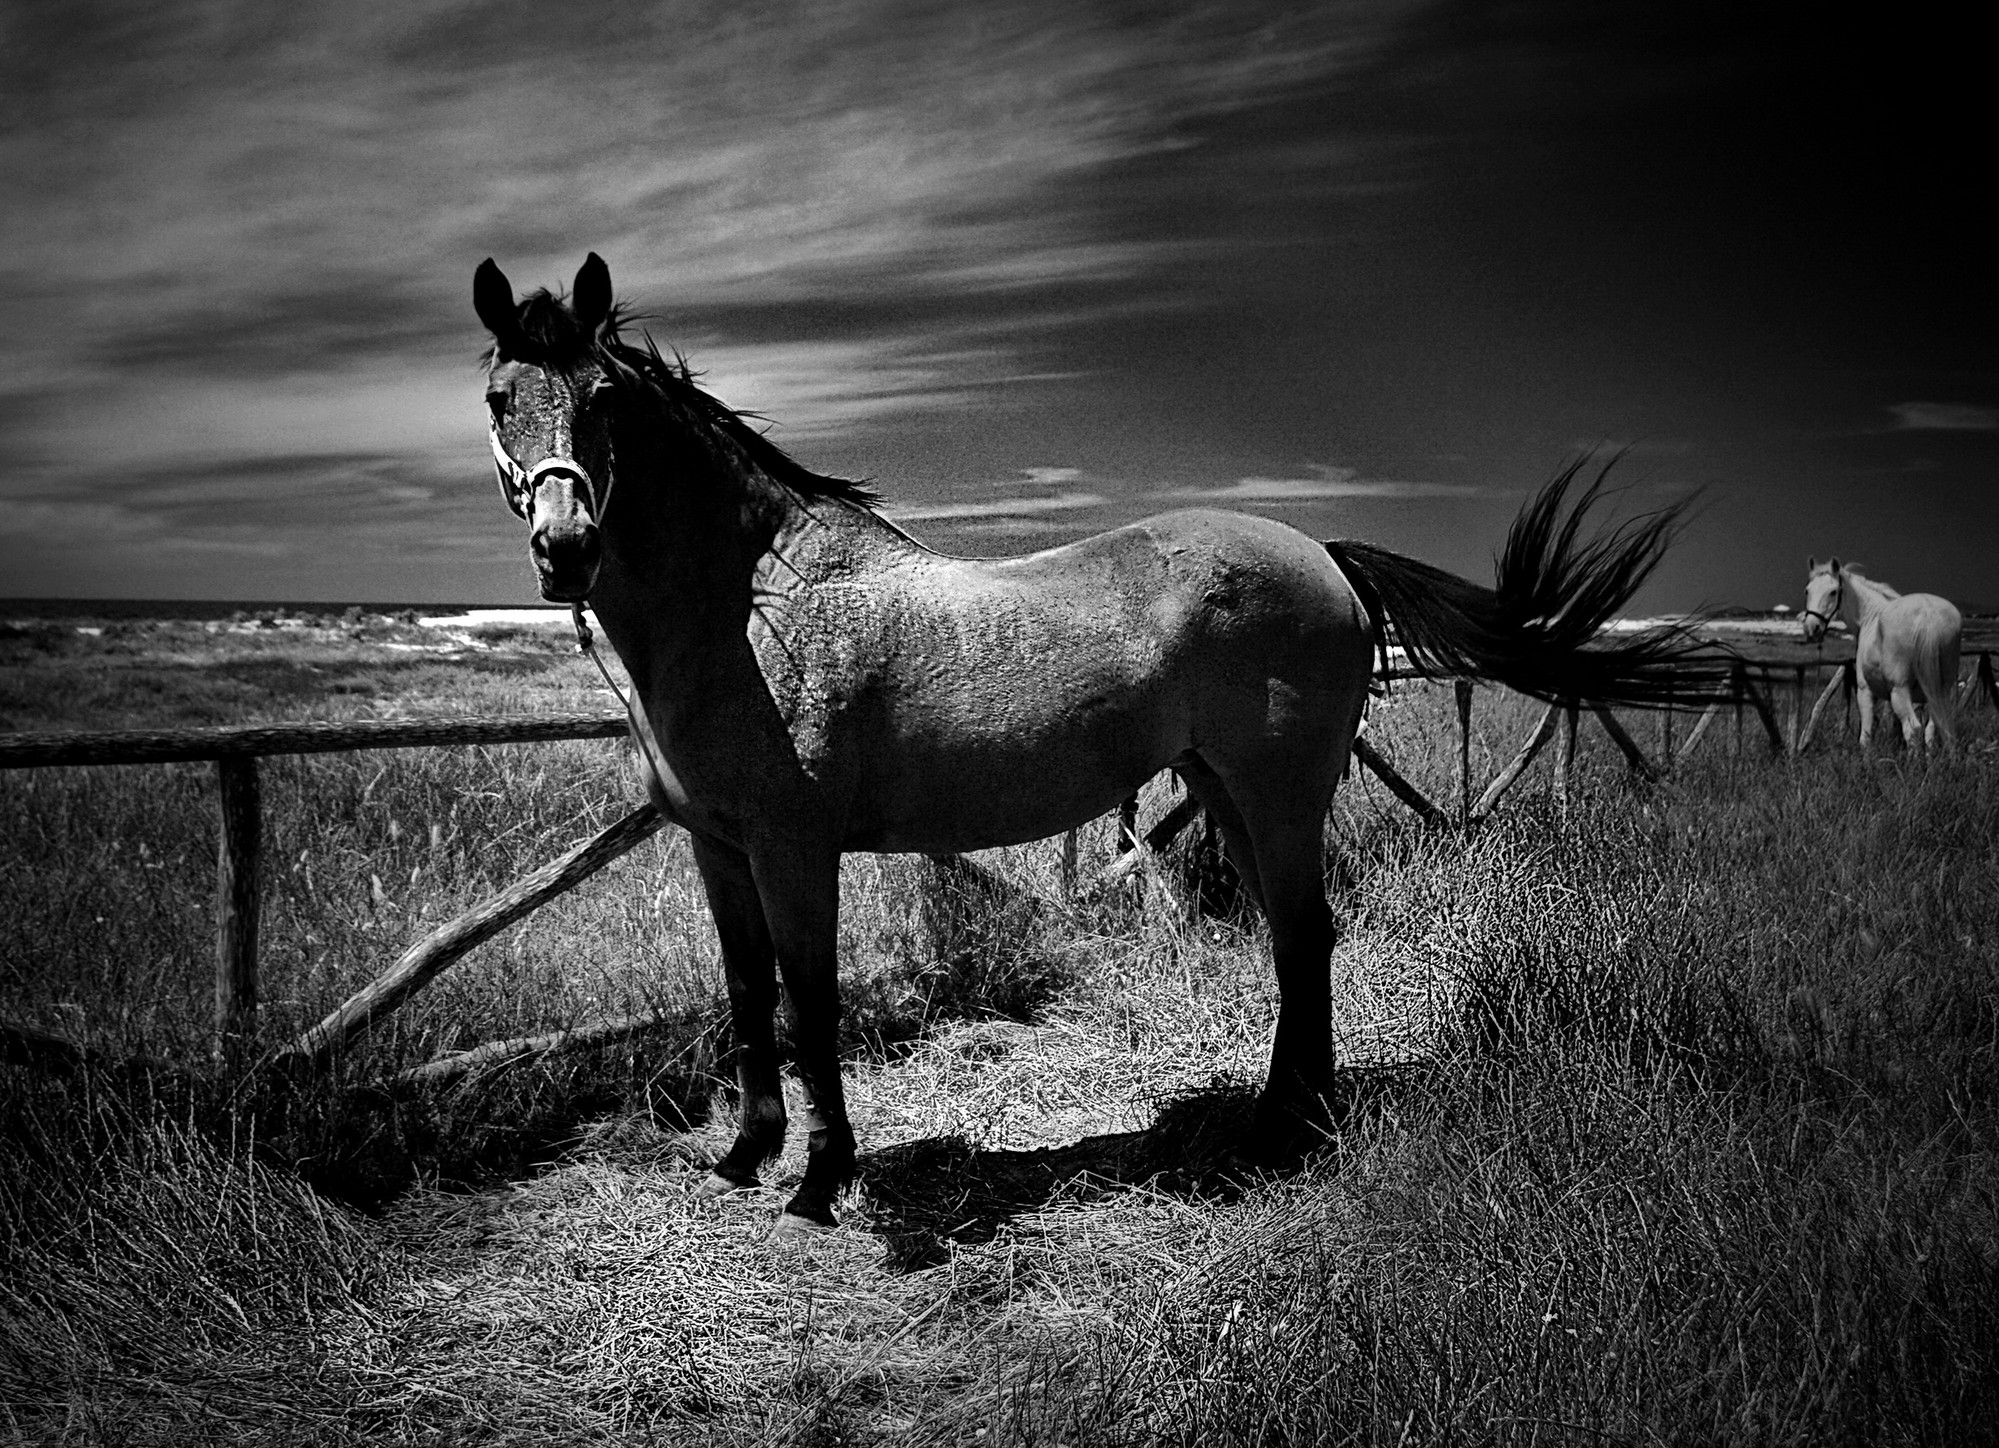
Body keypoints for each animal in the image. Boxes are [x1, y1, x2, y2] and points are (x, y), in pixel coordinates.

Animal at [475, 255, 1711, 1240]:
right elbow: (743, 995)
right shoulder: (719, 849)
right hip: (1227, 794)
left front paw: (819, 1183)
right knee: (1293, 941)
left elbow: (806, 1002)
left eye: (603, 399)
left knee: (1306, 937)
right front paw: (746, 1156)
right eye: (497, 397)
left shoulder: (792, 848)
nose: (565, 549)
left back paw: (1286, 1135)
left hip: (1277, 795)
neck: (754, 607)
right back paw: (1281, 1121)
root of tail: (1320, 551)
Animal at [1807, 556, 1959, 752]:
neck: (1870, 617)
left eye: (1833, 592)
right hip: (1941, 691)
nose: (1812, 628)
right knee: (1939, 729)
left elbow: (1866, 734)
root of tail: (1927, 613)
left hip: (1900, 692)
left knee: (1913, 728)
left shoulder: (1864, 690)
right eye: (1807, 591)